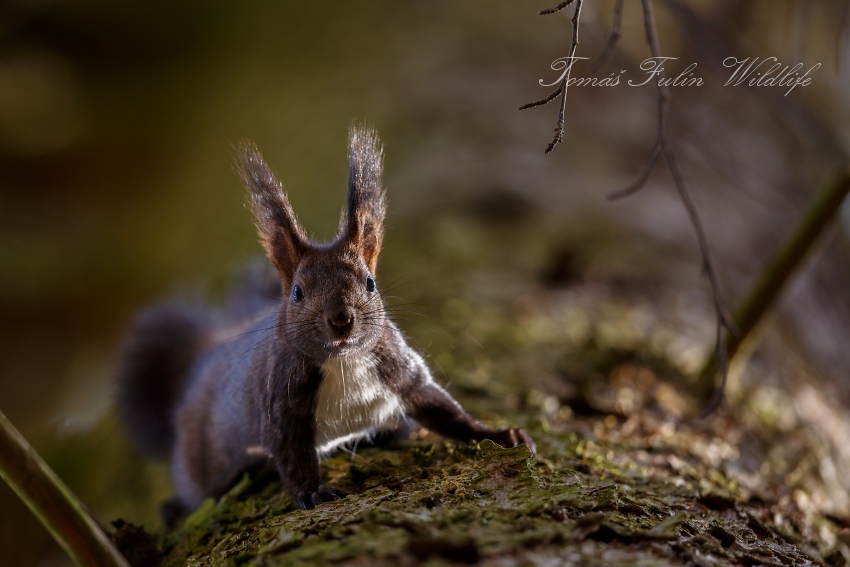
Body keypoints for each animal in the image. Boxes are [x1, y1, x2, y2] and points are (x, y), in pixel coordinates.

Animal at [116, 127, 535, 518]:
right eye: (297, 293)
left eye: (370, 282)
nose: (341, 320)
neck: (344, 360)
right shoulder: (281, 402)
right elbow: (292, 455)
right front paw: (312, 492)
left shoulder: (399, 370)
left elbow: (443, 409)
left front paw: (500, 434)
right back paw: (176, 510)